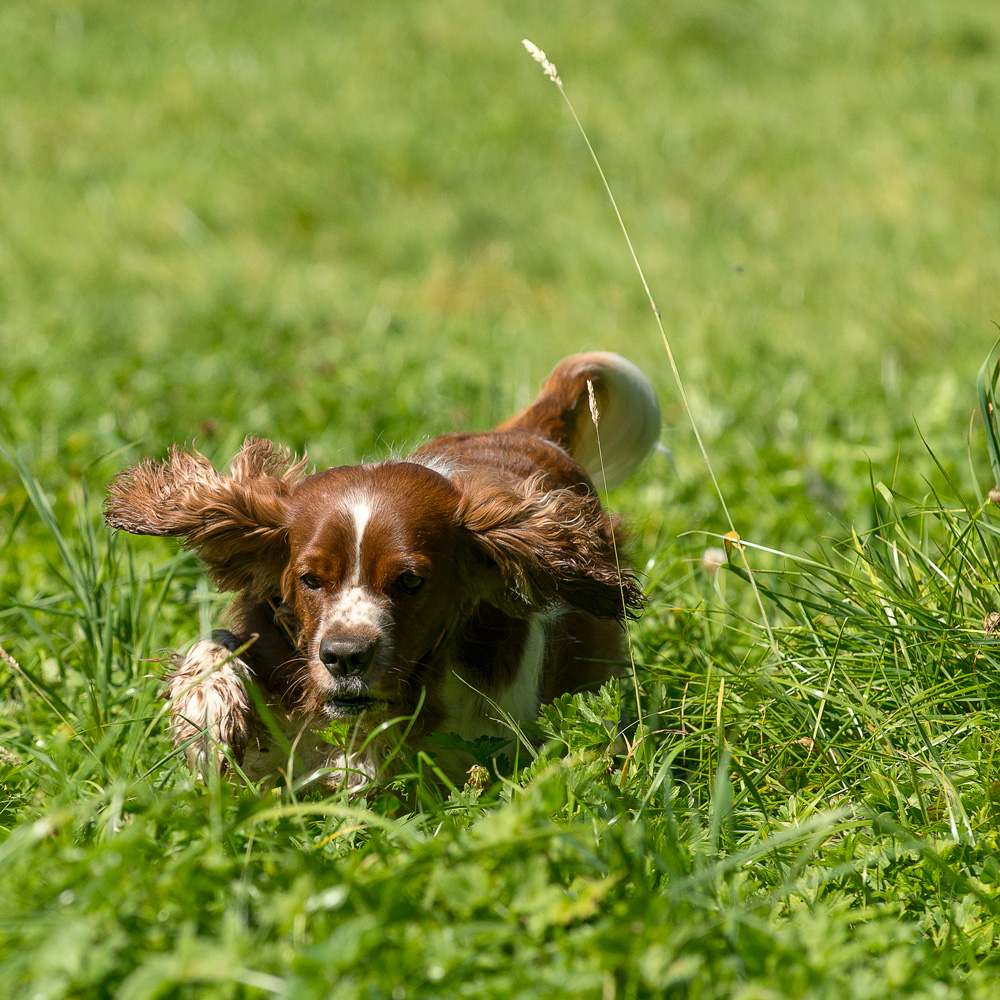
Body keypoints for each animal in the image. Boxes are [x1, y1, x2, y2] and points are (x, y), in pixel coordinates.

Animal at [105, 356, 660, 784]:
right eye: (310, 579)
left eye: (411, 581)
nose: (344, 657)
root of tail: (531, 436)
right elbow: (218, 643)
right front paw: (209, 715)